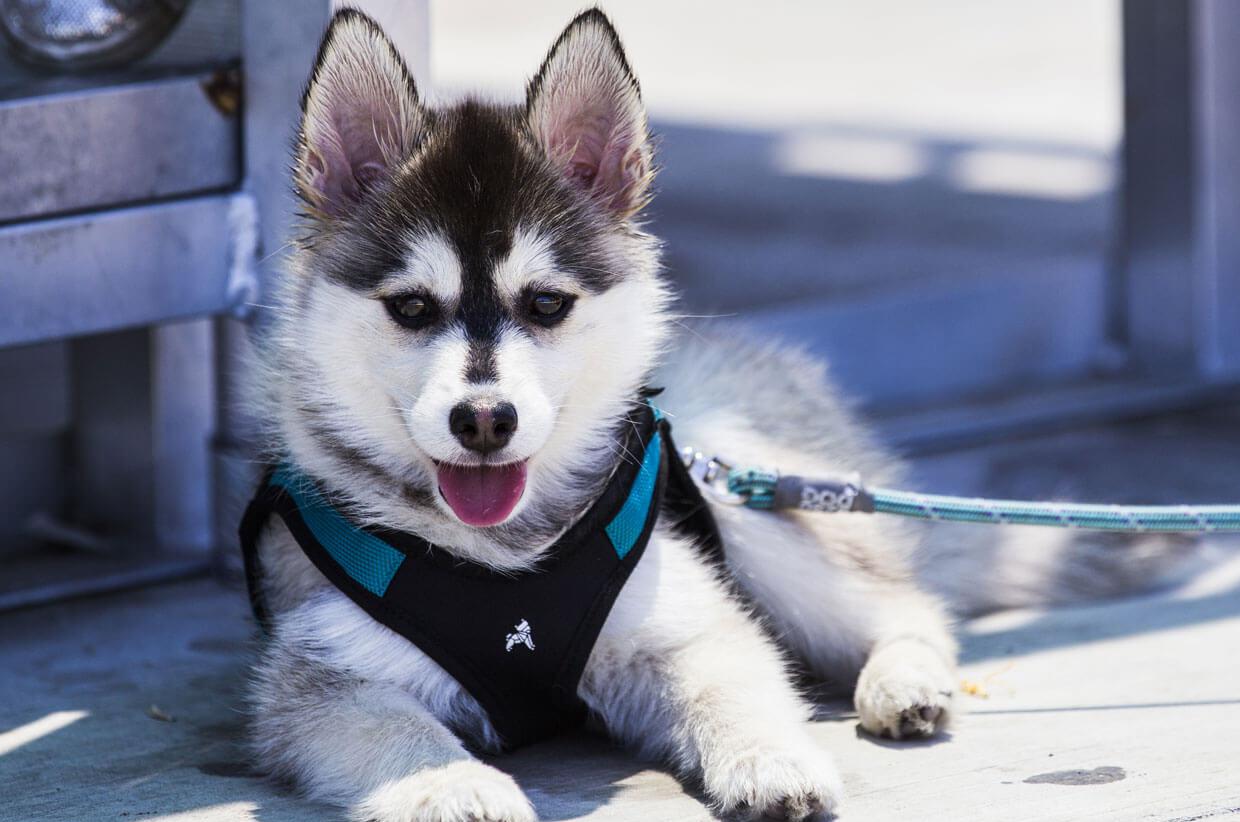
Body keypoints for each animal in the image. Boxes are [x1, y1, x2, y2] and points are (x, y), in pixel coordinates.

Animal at [241, 8, 1035, 821]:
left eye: (546, 303)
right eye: (410, 307)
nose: (485, 419)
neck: (506, 559)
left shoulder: (679, 622)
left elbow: (731, 682)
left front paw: (769, 759)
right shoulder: (329, 668)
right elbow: (394, 730)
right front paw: (451, 783)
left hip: (745, 492)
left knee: (905, 604)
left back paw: (904, 678)